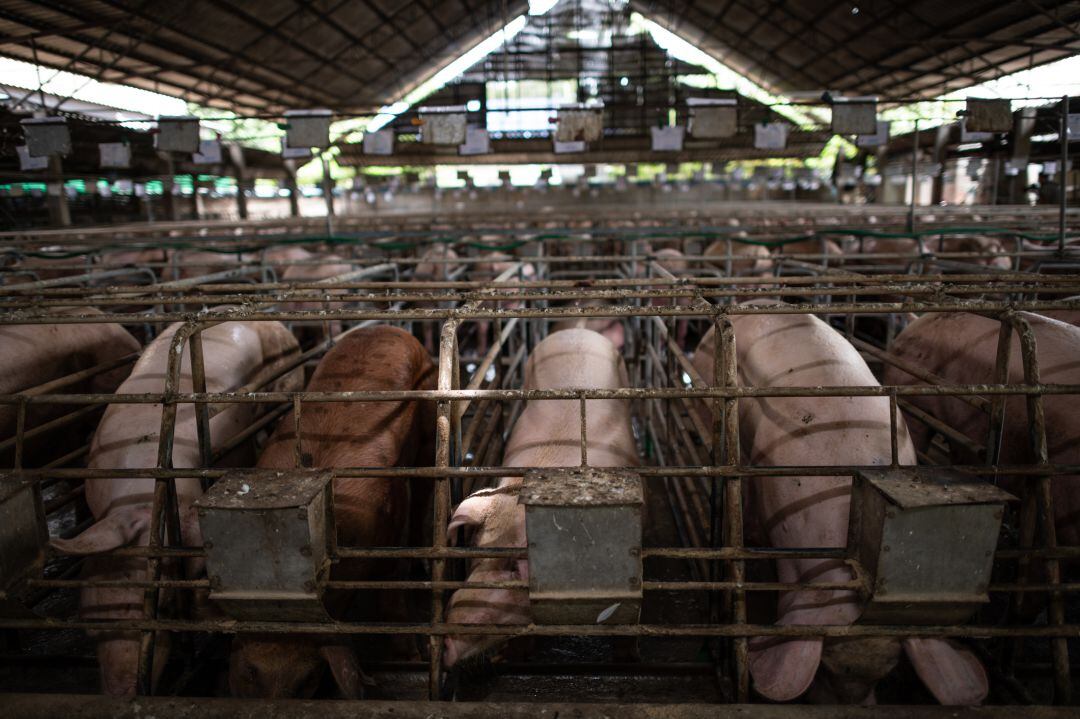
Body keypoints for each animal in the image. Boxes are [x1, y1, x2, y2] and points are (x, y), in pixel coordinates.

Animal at [227, 323, 434, 695]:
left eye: (307, 680)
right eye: (251, 673)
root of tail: (389, 327)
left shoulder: (391, 523)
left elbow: (393, 592)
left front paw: (409, 660)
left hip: (426, 434)